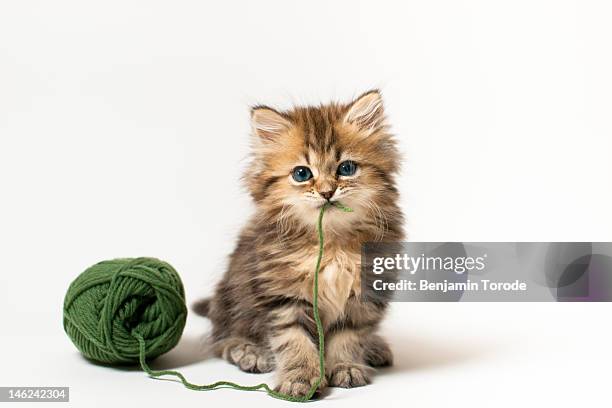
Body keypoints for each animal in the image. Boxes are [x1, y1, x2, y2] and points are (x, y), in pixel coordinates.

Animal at [196, 90, 404, 398]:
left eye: (346, 168)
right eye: (302, 174)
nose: (327, 192)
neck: (331, 244)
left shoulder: (363, 294)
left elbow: (348, 337)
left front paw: (345, 367)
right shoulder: (283, 297)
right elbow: (294, 342)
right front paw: (300, 379)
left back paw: (375, 348)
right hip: (231, 297)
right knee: (223, 337)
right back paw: (249, 352)